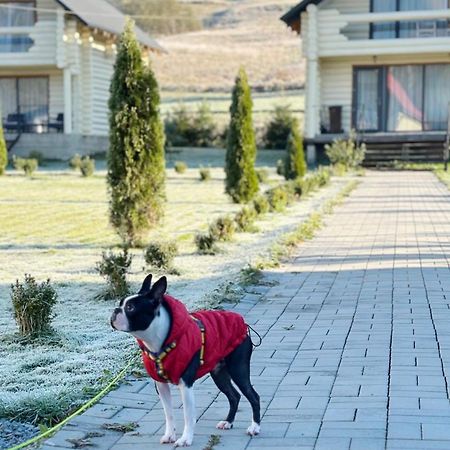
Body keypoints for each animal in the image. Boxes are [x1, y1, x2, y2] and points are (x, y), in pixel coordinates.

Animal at [110, 274, 262, 446]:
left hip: (238, 369)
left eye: (130, 308)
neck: (160, 342)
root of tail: (243, 323)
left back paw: (254, 427)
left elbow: (188, 415)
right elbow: (168, 413)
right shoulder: (161, 385)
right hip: (219, 374)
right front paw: (170, 435)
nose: (115, 310)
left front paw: (185, 439)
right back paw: (228, 422)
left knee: (253, 396)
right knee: (234, 396)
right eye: (120, 303)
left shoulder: (186, 384)